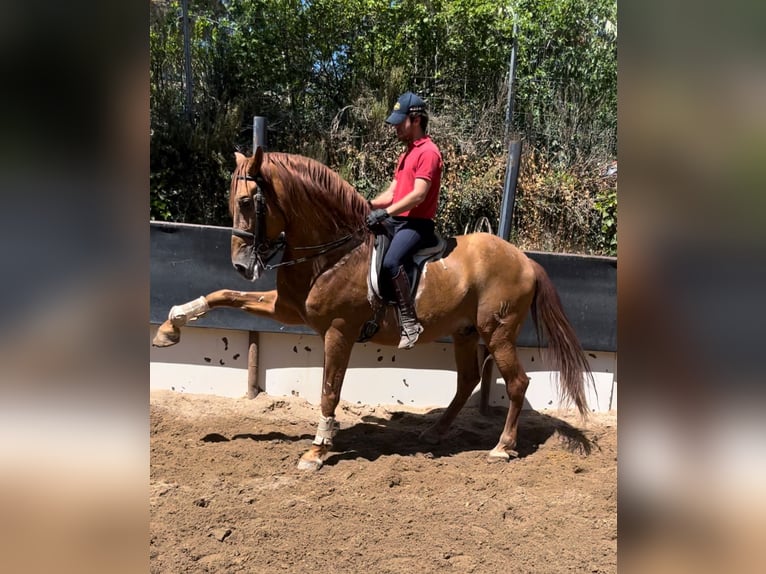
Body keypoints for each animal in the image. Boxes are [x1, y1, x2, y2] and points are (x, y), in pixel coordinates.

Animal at [150, 148, 592, 472]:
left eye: (246, 202)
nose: (242, 265)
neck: (333, 253)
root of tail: (524, 259)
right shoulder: (286, 309)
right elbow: (222, 295)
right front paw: (170, 328)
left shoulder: (339, 331)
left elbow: (329, 390)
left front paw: (317, 449)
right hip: (465, 332)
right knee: (467, 380)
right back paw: (435, 433)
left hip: (497, 331)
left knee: (517, 383)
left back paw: (503, 446)